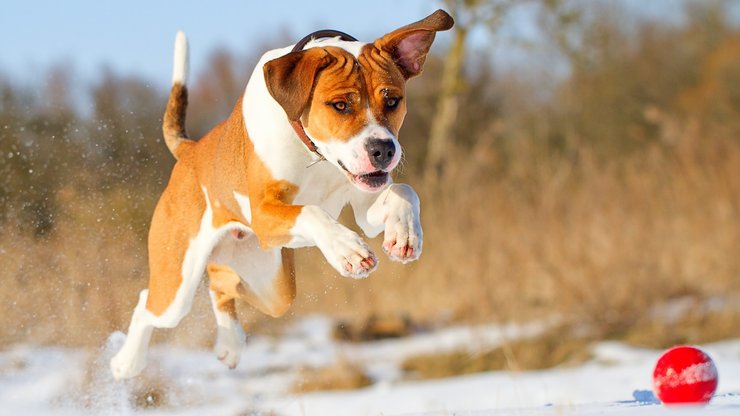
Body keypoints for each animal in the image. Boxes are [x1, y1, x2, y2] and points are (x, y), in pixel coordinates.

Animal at [110, 9, 454, 380]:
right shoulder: (263, 214)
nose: (383, 150)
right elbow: (312, 211)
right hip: (178, 283)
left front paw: (403, 235)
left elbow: (404, 191)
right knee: (148, 303)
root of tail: (191, 151)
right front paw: (347, 250)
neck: (314, 154)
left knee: (221, 284)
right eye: (340, 105)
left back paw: (229, 344)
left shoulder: (365, 201)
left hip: (272, 286)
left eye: (392, 100)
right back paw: (126, 361)